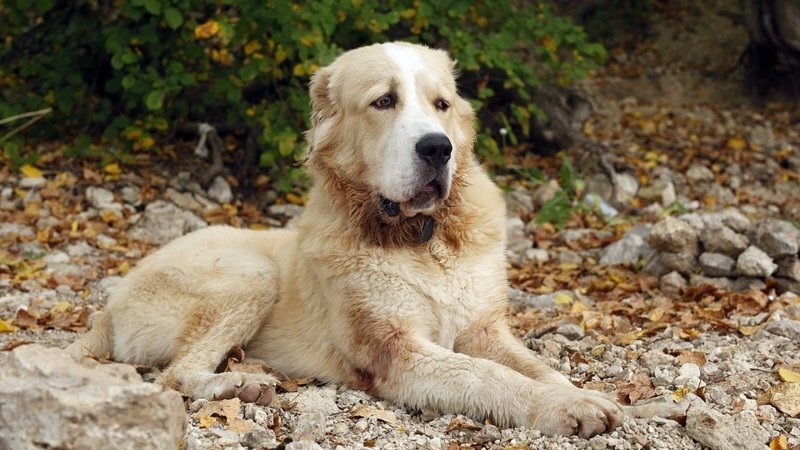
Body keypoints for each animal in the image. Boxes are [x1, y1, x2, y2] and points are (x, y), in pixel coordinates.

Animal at [69, 41, 624, 436]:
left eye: (441, 104)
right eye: (384, 101)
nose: (437, 148)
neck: (422, 239)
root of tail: (109, 307)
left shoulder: (486, 332)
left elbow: (537, 367)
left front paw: (586, 395)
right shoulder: (398, 352)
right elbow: (491, 377)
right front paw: (566, 407)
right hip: (250, 274)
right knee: (175, 376)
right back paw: (239, 384)